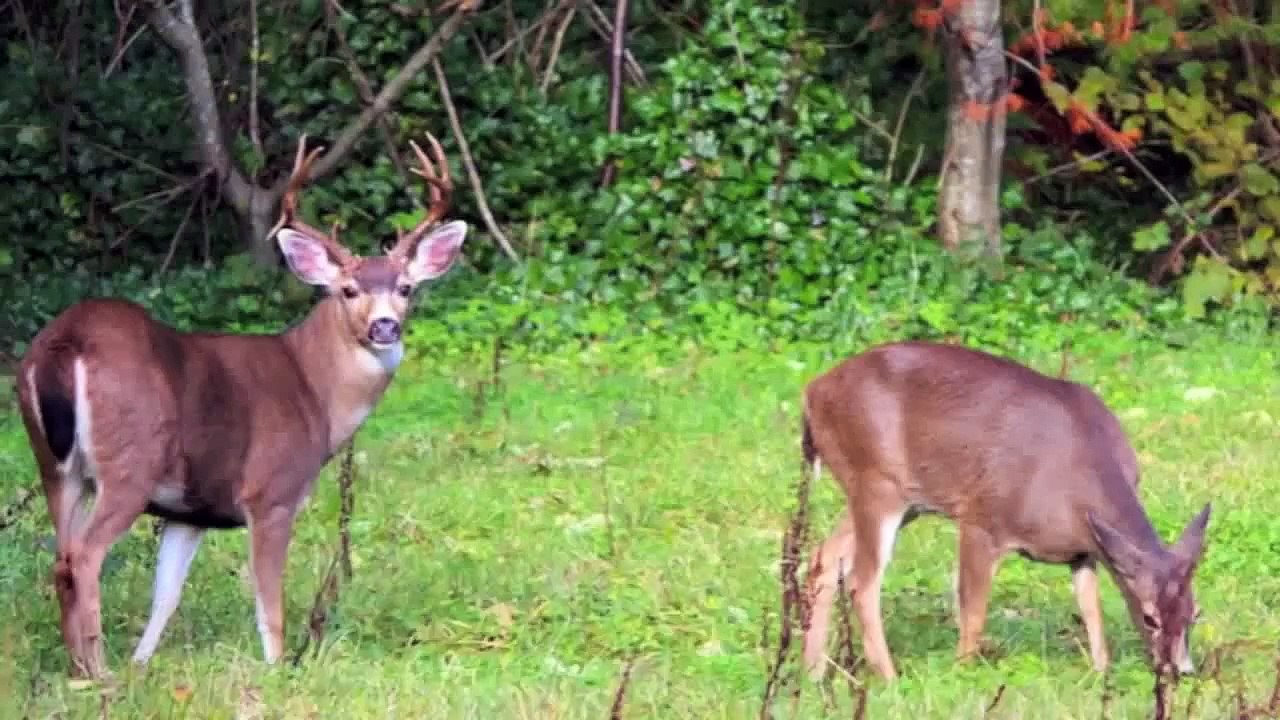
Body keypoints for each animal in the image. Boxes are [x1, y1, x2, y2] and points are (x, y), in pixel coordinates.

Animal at [15, 133, 468, 678]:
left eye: (405, 288)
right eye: (348, 289)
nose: (385, 326)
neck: (315, 392)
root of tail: (66, 343)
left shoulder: (191, 509)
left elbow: (166, 596)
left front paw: (142, 667)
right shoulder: (270, 492)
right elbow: (268, 600)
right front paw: (277, 668)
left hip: (56, 467)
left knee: (60, 557)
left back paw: (81, 670)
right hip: (128, 463)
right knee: (83, 556)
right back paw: (100, 672)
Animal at [799, 340, 1212, 681]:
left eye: (1195, 612)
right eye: (1149, 617)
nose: (1181, 670)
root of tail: (812, 394)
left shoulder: (1083, 550)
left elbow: (1091, 608)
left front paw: (1101, 672)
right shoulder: (982, 519)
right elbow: (973, 609)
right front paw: (963, 674)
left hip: (896, 496)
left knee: (823, 557)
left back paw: (813, 672)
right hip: (877, 483)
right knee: (862, 581)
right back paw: (888, 676)